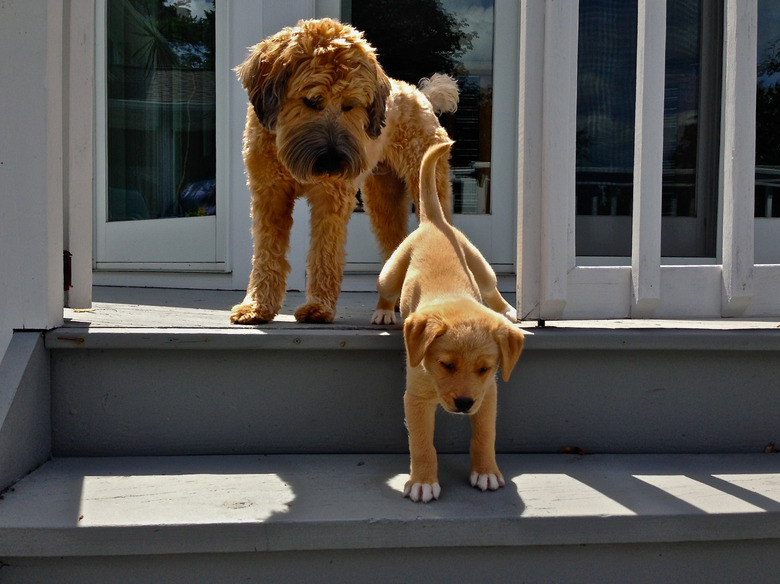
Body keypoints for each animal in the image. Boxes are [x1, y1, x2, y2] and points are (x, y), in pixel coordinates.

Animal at [229, 18, 458, 326]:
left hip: (428, 189)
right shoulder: (270, 195)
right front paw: (257, 306)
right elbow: (267, 254)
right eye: (312, 101)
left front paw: (318, 307)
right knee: (395, 243)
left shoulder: (330, 198)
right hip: (383, 199)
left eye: (350, 105)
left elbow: (325, 253)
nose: (333, 161)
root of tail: (420, 94)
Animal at [372, 141, 524, 502]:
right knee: (385, 289)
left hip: (481, 264)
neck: (454, 300)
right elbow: (422, 444)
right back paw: (383, 312)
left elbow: (484, 435)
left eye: (484, 368)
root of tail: (435, 222)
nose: (465, 403)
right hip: (390, 272)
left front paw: (486, 472)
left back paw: (508, 311)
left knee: (492, 288)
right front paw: (423, 482)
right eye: (446, 364)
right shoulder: (415, 397)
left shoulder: (488, 393)